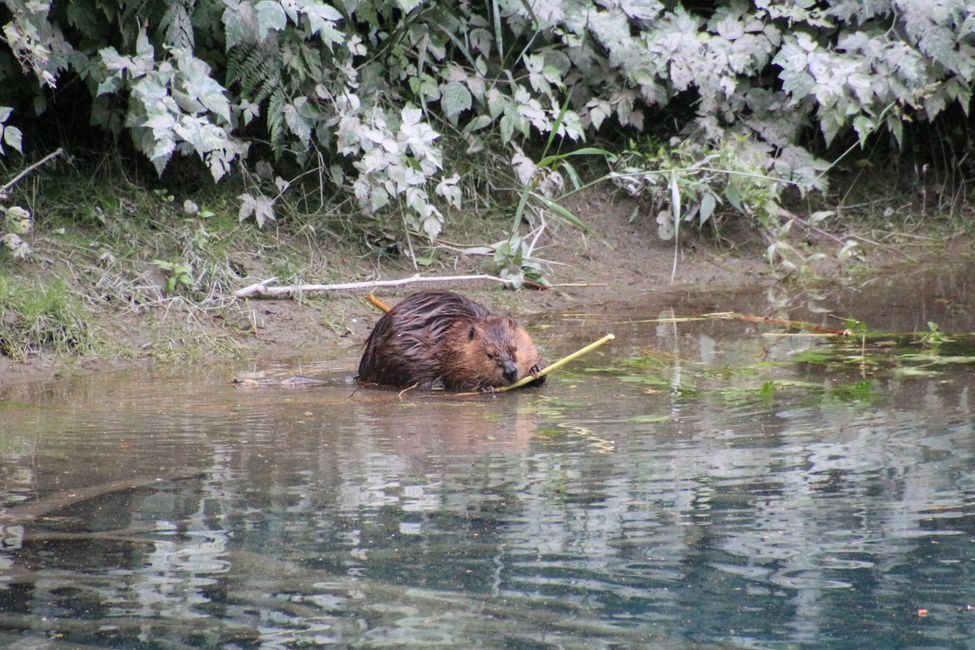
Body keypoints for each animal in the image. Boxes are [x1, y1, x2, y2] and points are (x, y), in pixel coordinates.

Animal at [358, 290, 544, 390]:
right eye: (489, 354)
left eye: (514, 348)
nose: (510, 371)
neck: (450, 332)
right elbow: (456, 380)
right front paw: (484, 387)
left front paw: (536, 369)